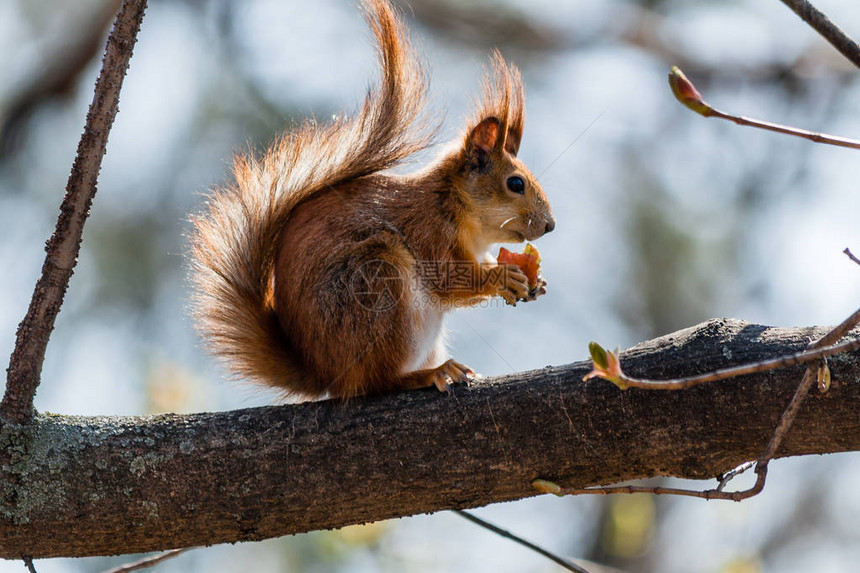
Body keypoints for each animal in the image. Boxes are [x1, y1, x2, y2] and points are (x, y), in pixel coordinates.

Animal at [188, 0, 556, 398]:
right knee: (375, 381)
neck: (458, 208)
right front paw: (503, 277)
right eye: (515, 183)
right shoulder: (429, 230)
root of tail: (324, 373)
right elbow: (449, 279)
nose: (550, 225)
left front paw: (535, 283)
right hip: (376, 284)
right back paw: (426, 374)